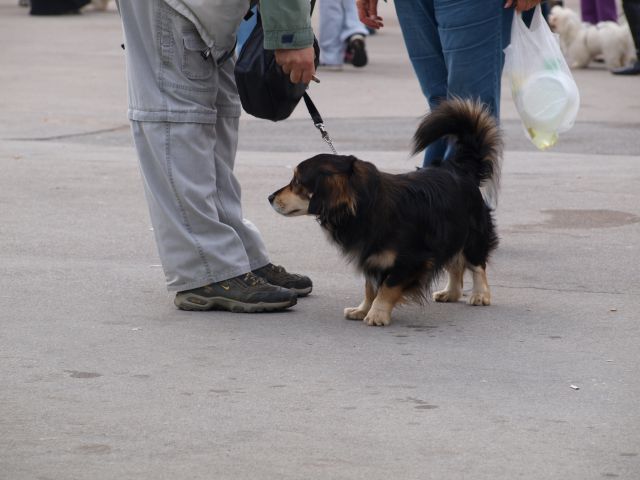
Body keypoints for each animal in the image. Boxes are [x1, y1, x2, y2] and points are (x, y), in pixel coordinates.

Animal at [268, 100, 502, 328]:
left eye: (297, 181)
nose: (270, 197)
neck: (365, 206)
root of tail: (458, 169)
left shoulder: (411, 260)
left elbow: (387, 287)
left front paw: (377, 314)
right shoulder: (370, 257)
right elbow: (370, 286)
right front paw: (362, 309)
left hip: (472, 232)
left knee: (476, 263)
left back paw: (480, 294)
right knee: (455, 263)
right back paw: (451, 293)